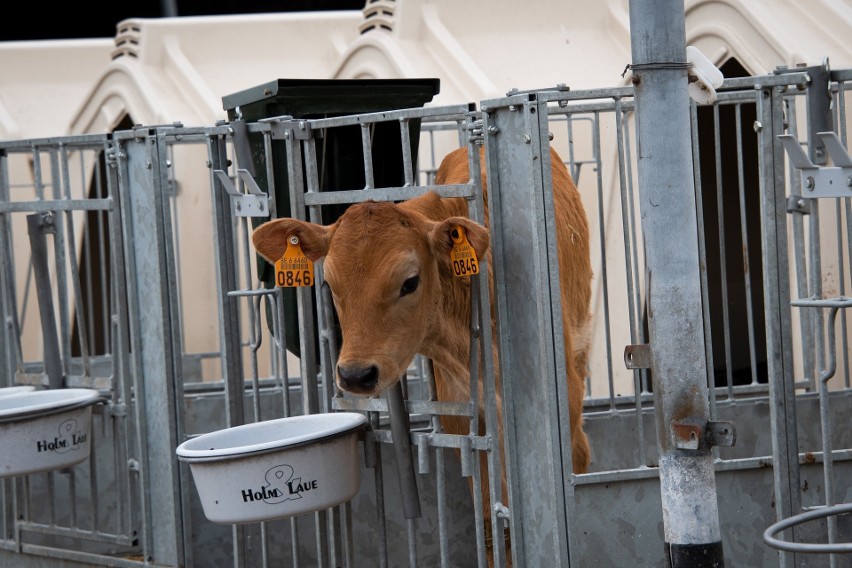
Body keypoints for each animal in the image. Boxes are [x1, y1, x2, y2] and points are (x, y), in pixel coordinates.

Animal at [253, 143, 592, 556]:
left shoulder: (566, 411)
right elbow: (494, 527)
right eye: (330, 284)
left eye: (410, 282)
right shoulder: (466, 423)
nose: (355, 374)